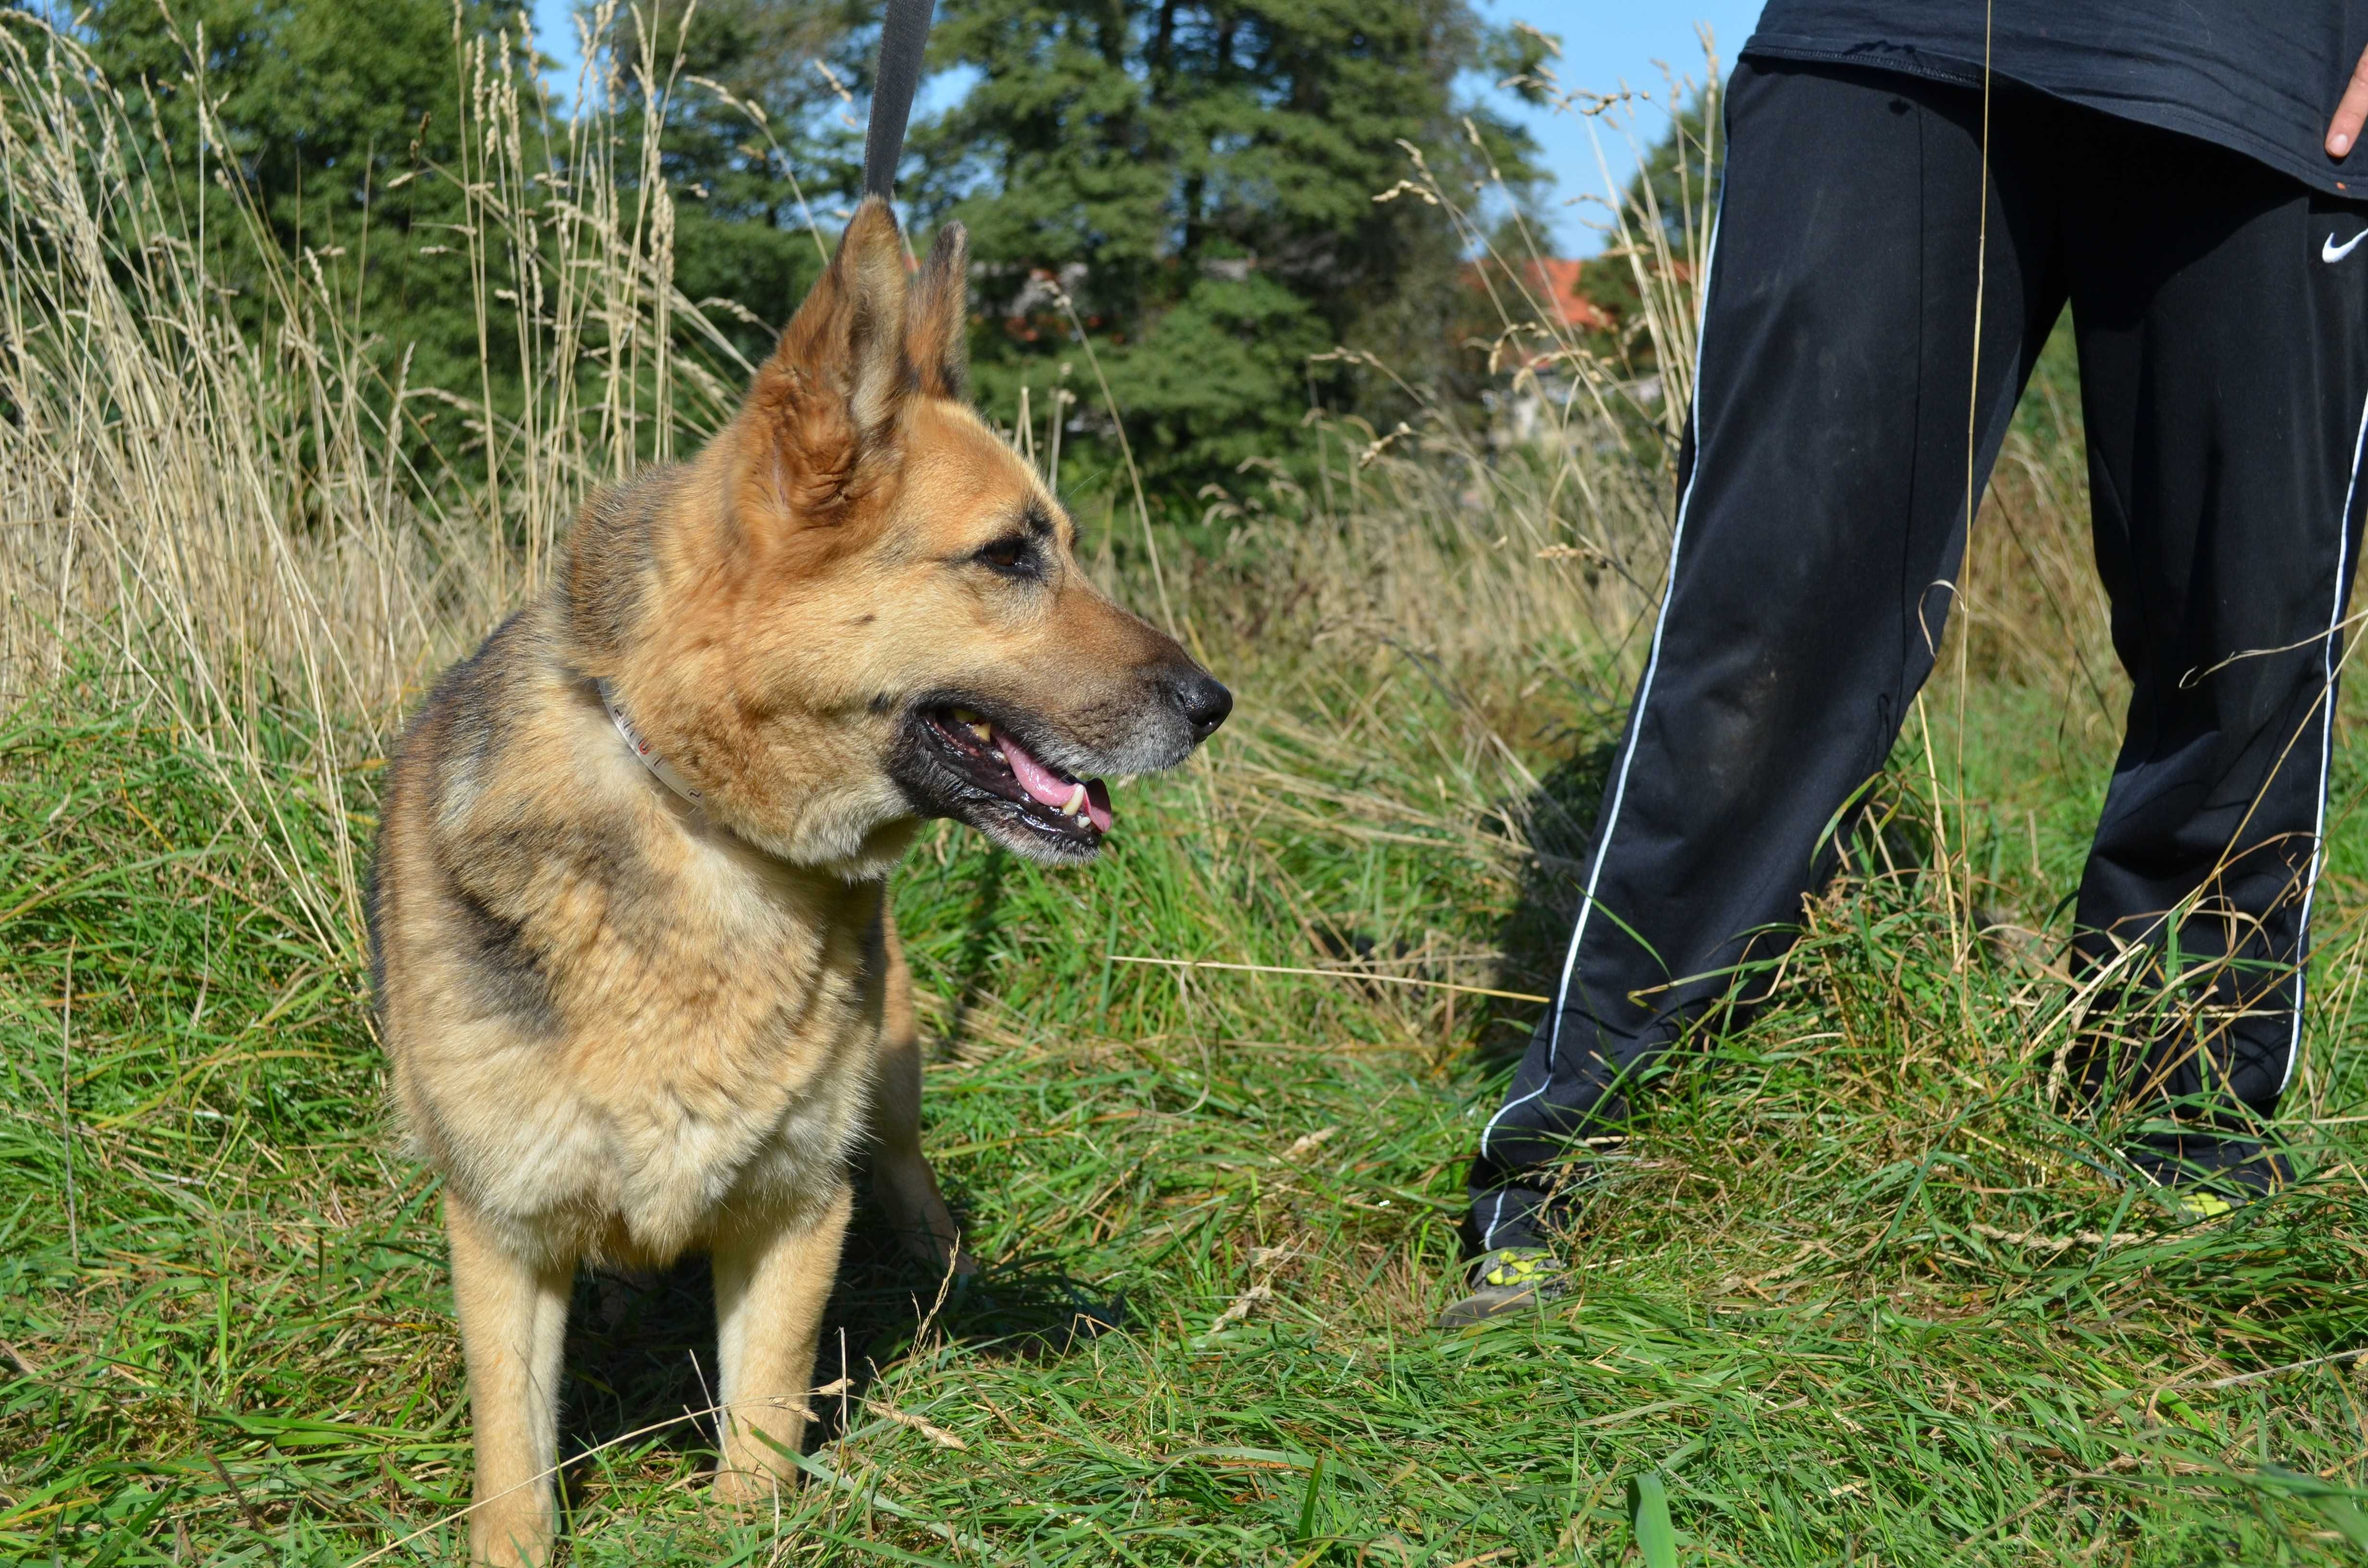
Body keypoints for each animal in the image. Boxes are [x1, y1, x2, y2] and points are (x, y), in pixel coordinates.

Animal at [374, 202, 1241, 1563]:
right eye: (1010, 557)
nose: (1216, 706)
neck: (704, 826)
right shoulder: (503, 1235)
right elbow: (514, 1467)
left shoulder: (793, 1210)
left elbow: (767, 1415)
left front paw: (745, 1524)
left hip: (889, 1081)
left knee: (908, 1174)